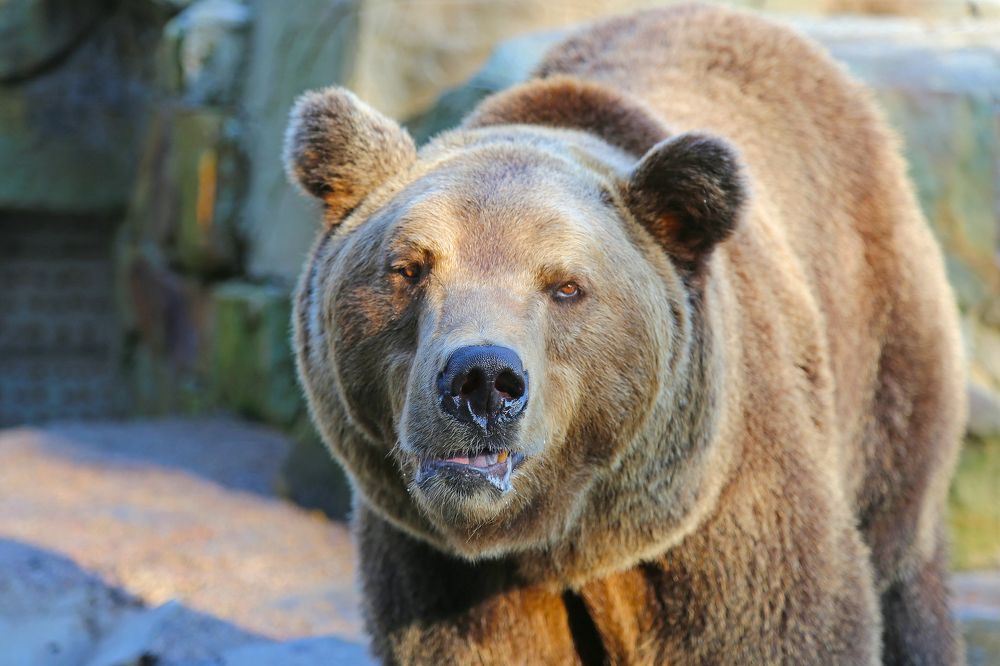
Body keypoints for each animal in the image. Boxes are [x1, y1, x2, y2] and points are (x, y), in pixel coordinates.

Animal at [283, 4, 966, 664]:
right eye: (409, 267)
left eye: (565, 286)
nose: (481, 380)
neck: (569, 540)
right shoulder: (442, 571)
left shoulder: (731, 516)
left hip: (878, 350)